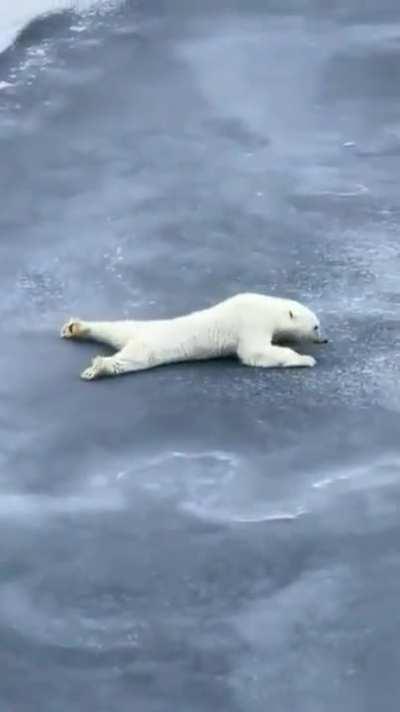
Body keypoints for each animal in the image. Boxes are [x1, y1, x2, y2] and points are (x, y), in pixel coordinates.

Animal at [60, 292, 327, 380]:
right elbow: (254, 352)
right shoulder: (251, 322)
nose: (324, 340)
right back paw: (98, 367)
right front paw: (306, 359)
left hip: (134, 329)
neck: (268, 308)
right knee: (131, 360)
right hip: (151, 346)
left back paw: (76, 327)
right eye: (316, 326)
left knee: (113, 328)